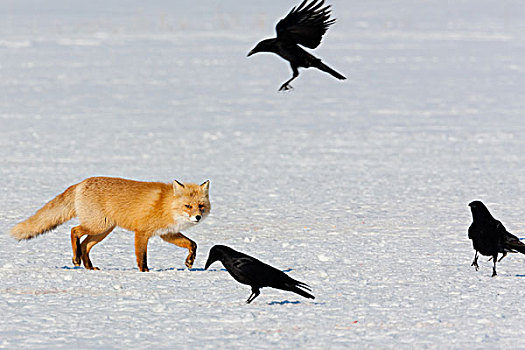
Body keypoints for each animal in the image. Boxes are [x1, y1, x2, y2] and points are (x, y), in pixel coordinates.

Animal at [10, 176, 211, 272]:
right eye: (188, 206)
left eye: (201, 206)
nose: (197, 217)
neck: (165, 204)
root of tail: (81, 183)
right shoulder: (142, 232)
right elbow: (142, 256)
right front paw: (145, 272)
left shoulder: (167, 233)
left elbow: (192, 244)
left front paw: (190, 261)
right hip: (97, 226)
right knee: (74, 231)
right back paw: (76, 259)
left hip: (103, 230)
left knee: (85, 245)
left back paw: (89, 267)